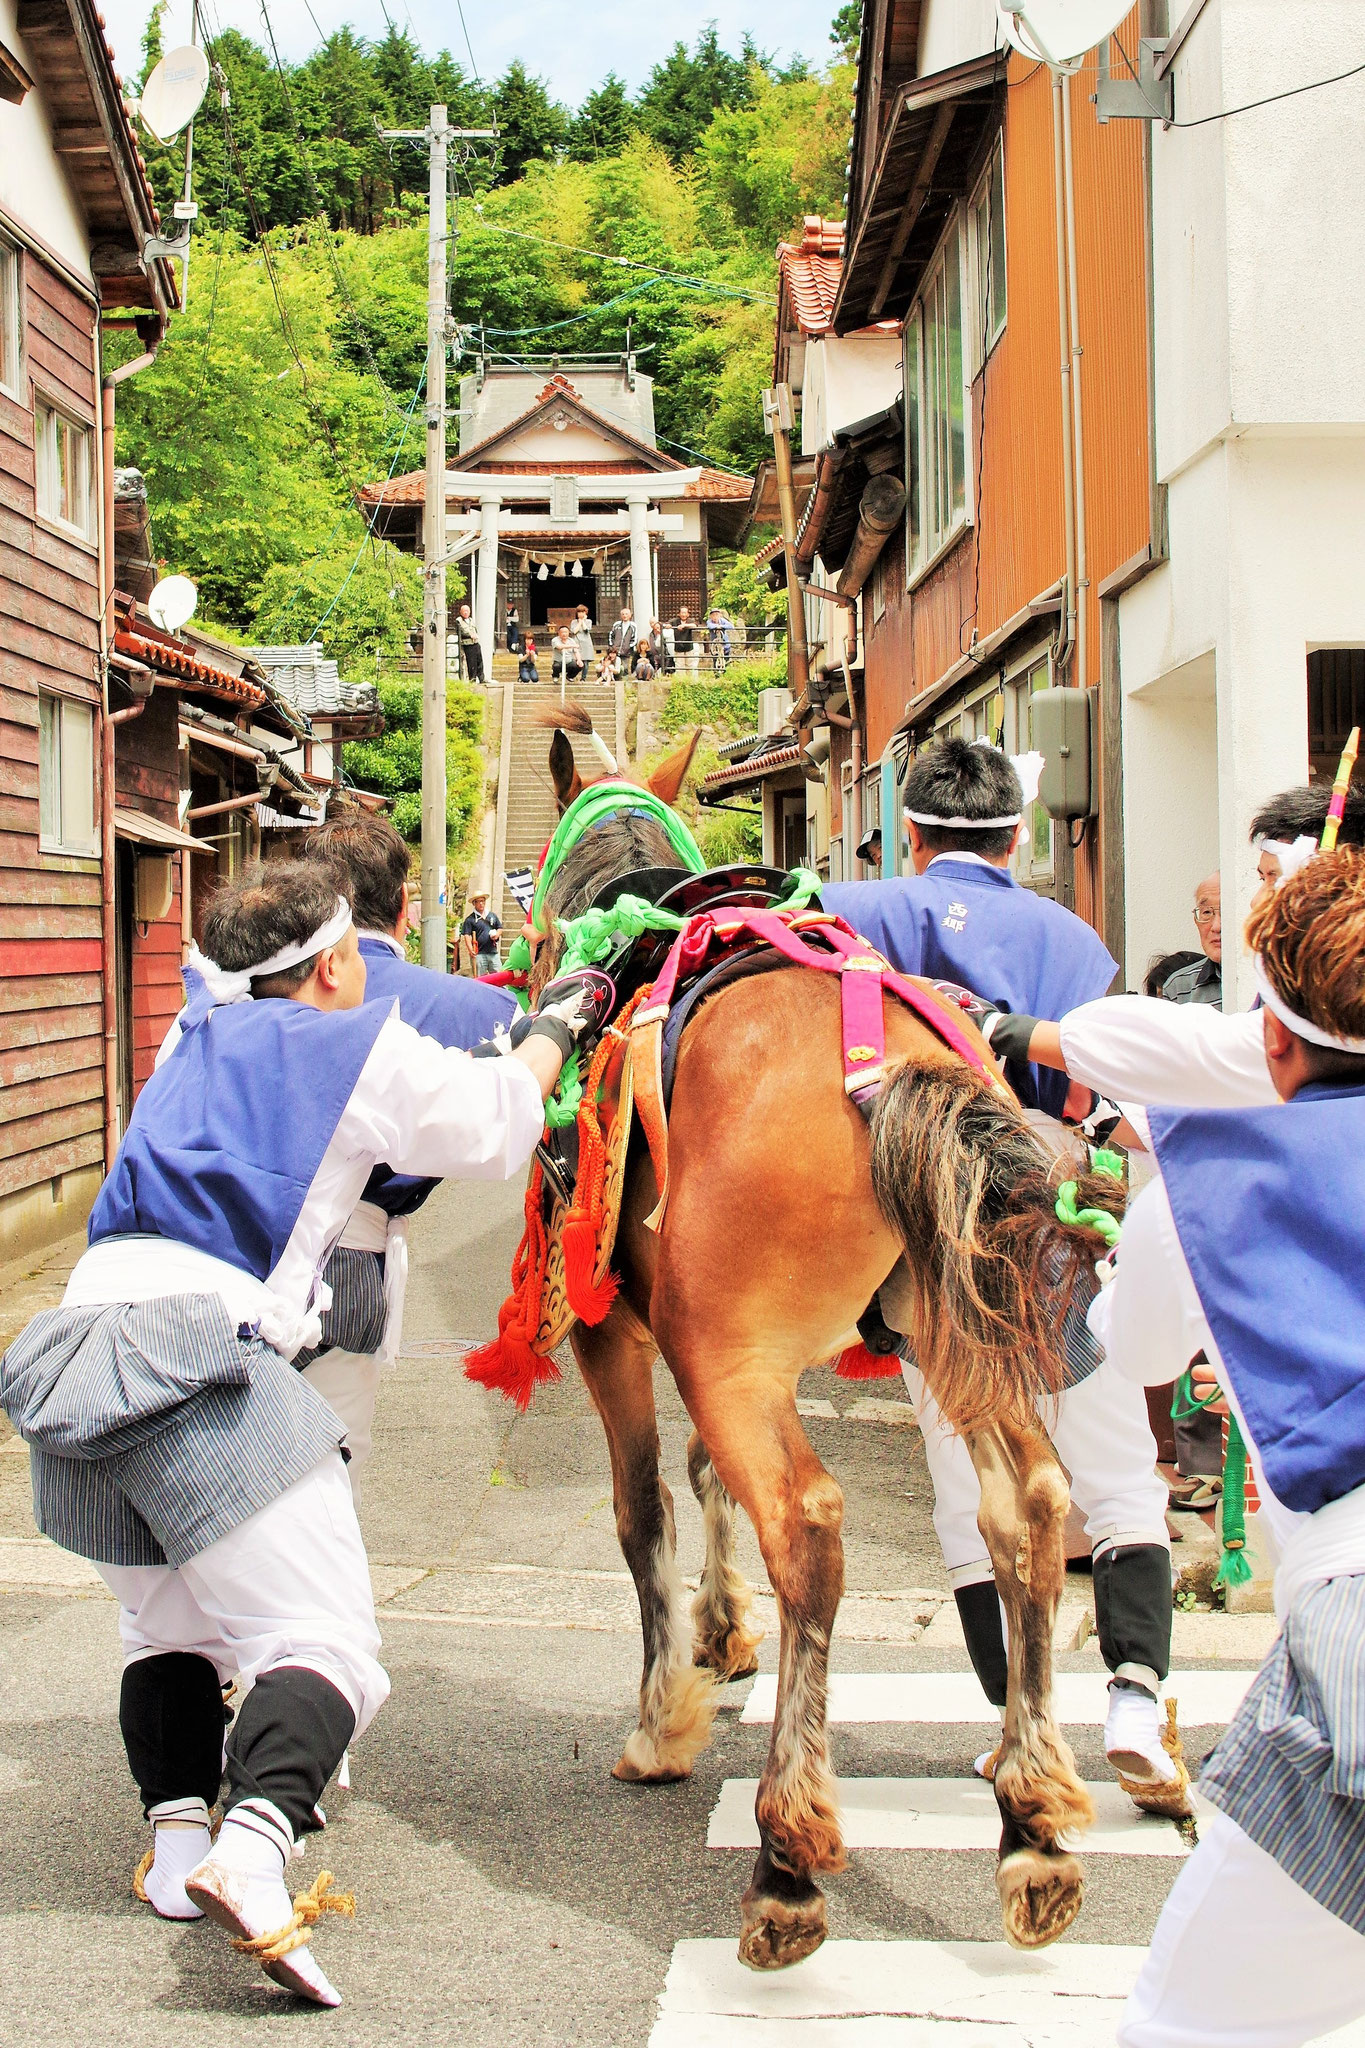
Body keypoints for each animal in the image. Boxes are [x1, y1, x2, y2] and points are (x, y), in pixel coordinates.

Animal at [511, 704, 1113, 1966]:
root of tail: (899, 1066)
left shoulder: (621, 1329)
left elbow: (645, 1505)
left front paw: (665, 1711)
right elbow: (703, 1475)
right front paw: (721, 1629)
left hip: (734, 1349)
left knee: (810, 1526)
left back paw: (787, 1856)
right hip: (951, 1328)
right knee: (1029, 1507)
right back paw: (1031, 1822)